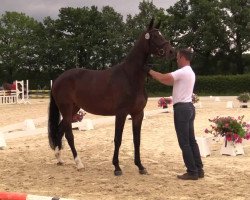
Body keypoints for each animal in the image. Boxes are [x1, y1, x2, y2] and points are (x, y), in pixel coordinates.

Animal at [48, 18, 174, 175]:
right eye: (156, 36)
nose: (171, 51)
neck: (130, 76)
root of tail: (58, 79)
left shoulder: (138, 114)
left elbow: (137, 140)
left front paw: (140, 166)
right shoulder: (121, 113)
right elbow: (117, 139)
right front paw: (117, 167)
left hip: (74, 109)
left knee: (60, 130)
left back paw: (59, 159)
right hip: (66, 109)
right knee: (69, 134)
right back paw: (79, 164)